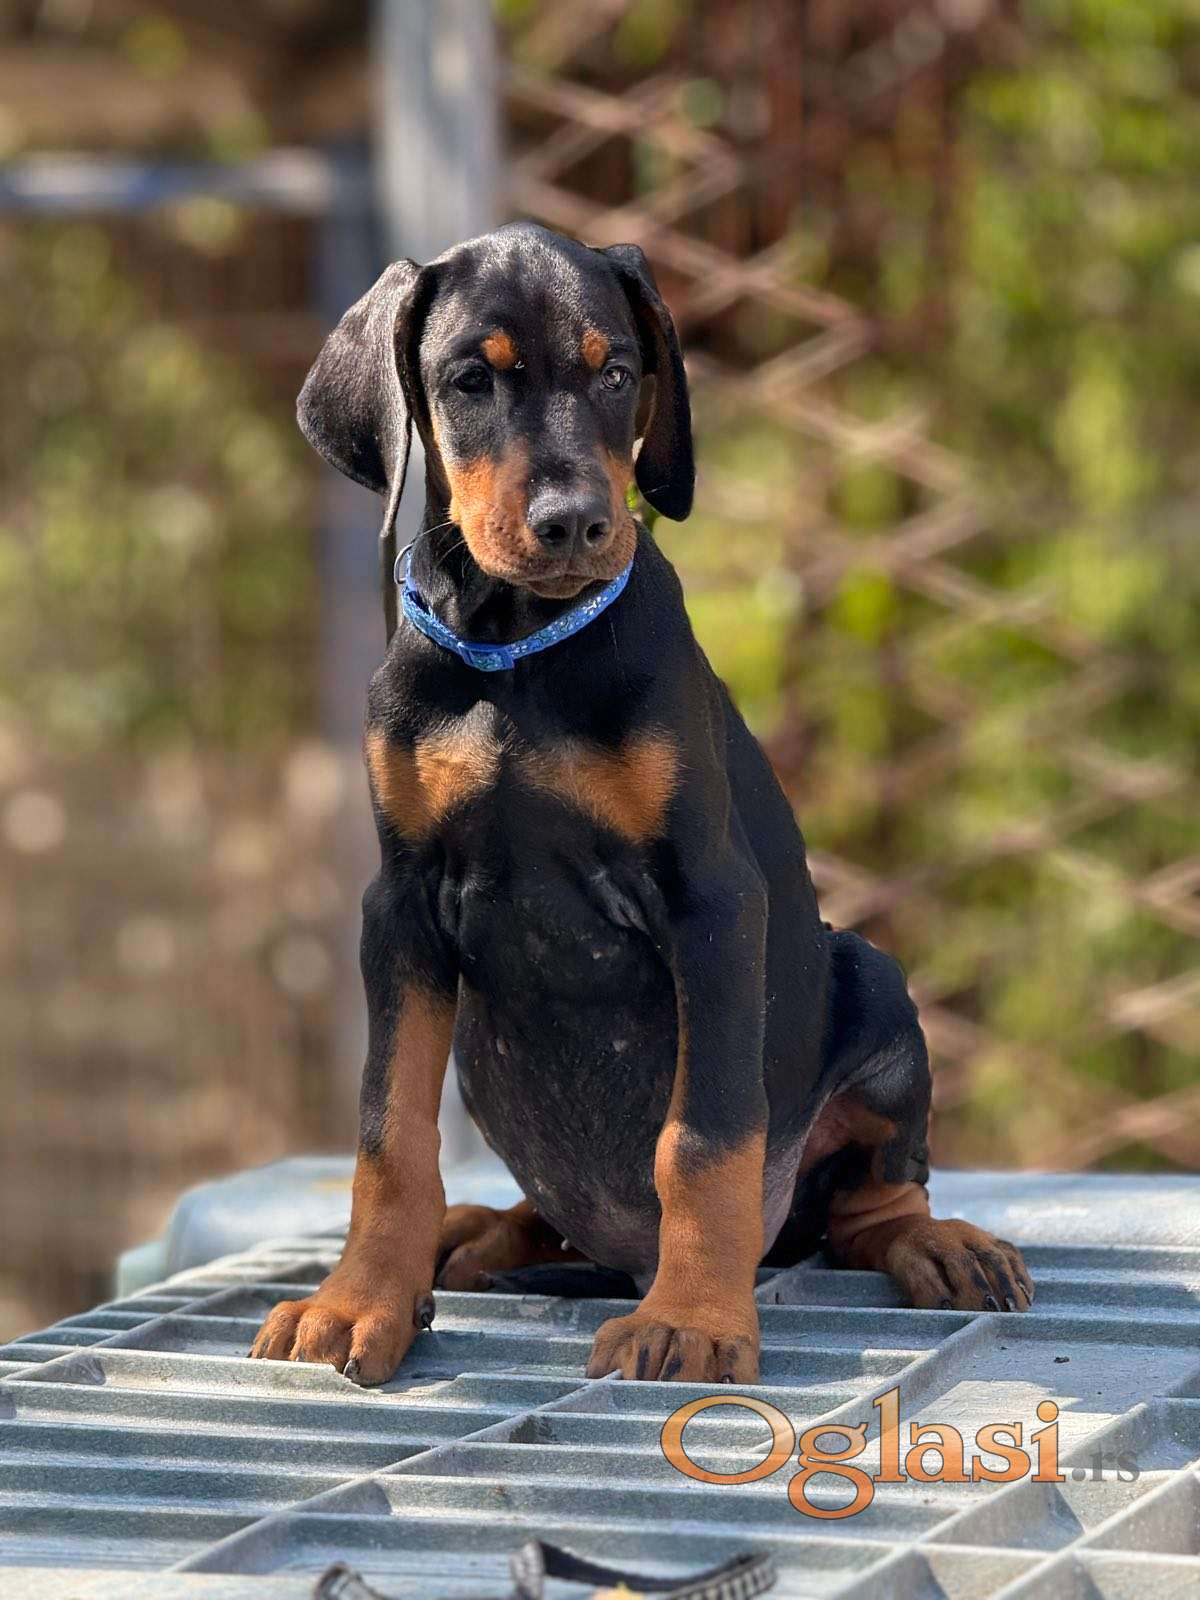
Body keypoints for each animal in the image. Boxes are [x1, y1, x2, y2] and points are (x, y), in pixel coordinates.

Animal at [250, 223, 1032, 1387]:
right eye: (470, 380)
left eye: (616, 372)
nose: (575, 522)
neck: (519, 649)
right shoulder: (400, 907)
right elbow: (388, 1131)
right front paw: (360, 1300)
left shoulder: (711, 901)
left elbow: (702, 1140)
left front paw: (695, 1319)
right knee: (536, 1210)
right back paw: (474, 1237)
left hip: (872, 984)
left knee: (869, 1202)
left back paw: (934, 1244)